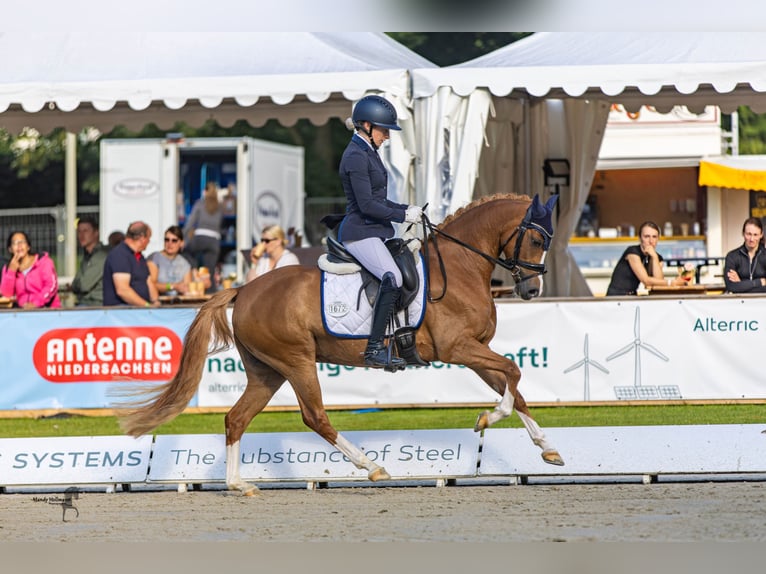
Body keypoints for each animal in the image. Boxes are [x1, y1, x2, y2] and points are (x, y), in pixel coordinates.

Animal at [120, 194, 564, 496]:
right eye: (536, 240)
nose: (532, 290)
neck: (460, 266)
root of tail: (244, 289)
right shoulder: (458, 349)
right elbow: (514, 373)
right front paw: (486, 419)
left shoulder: (476, 352)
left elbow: (515, 387)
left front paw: (548, 449)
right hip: (296, 361)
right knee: (315, 416)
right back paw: (372, 466)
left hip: (267, 372)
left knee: (236, 418)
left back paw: (238, 485)